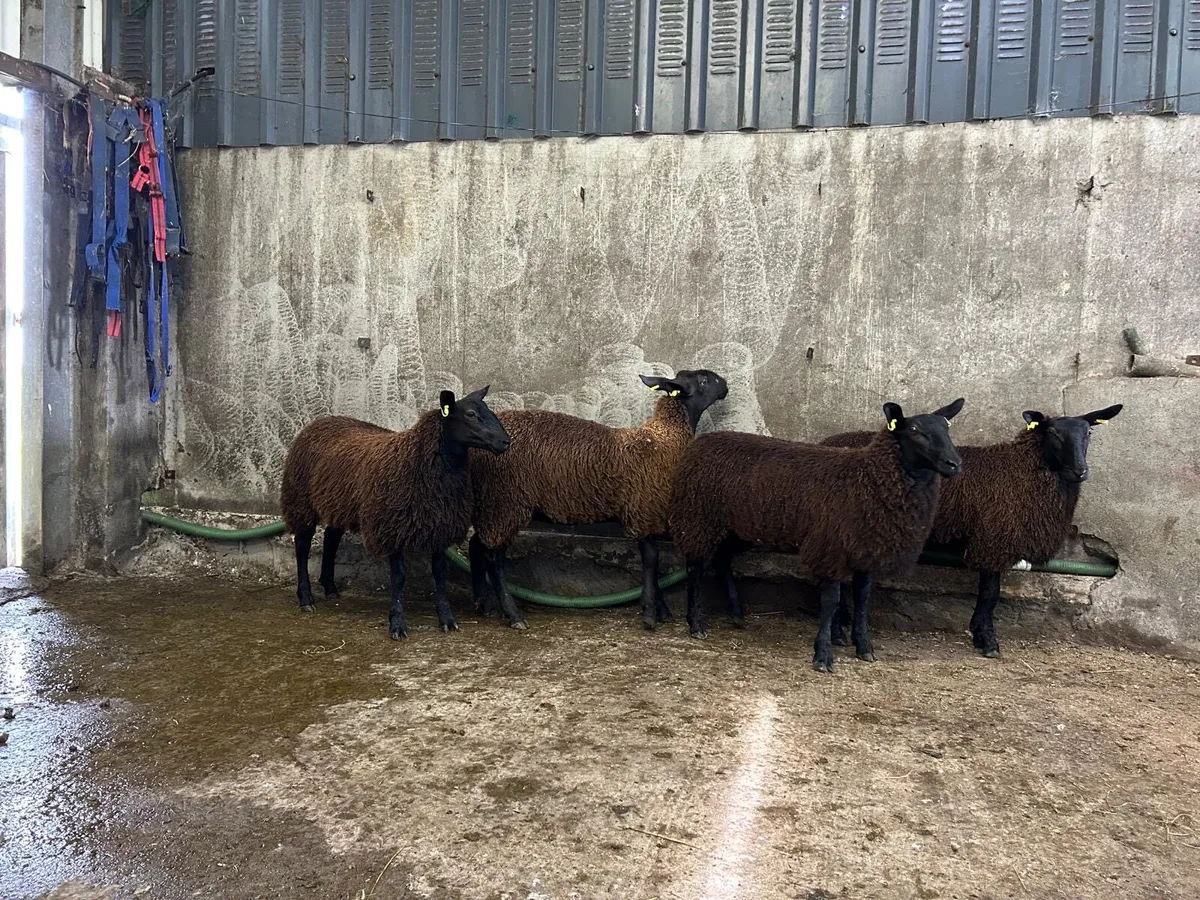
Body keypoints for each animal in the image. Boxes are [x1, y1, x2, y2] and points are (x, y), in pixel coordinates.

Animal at [280, 387, 511, 640]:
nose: (505, 441)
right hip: (300, 501)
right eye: (470, 414)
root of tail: (320, 421)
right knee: (302, 547)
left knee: (331, 539)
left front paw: (447, 619)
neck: (417, 460)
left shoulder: (439, 526)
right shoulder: (392, 526)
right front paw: (397, 623)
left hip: (339, 502)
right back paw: (305, 598)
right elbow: (399, 577)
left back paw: (330, 588)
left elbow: (439, 574)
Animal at [468, 370, 729, 630]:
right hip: (504, 502)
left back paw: (484, 604)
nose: (725, 386)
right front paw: (650, 613)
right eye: (704, 381)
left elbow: (653, 561)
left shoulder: (644, 511)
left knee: (477, 545)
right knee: (493, 558)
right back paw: (513, 614)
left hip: (491, 503)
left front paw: (661, 609)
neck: (663, 438)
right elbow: (651, 560)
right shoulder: (643, 509)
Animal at [668, 399, 964, 672]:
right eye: (914, 430)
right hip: (699, 519)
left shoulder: (865, 547)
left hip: (735, 526)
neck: (868, 477)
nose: (955, 464)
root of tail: (699, 443)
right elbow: (831, 601)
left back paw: (737, 614)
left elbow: (863, 598)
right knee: (695, 568)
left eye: (947, 427)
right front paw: (823, 655)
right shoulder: (831, 548)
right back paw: (696, 624)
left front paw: (864, 646)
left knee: (722, 561)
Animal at [821, 404, 1122, 657]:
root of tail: (825, 442)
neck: (1021, 471)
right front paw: (987, 641)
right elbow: (990, 595)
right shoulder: (992, 540)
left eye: (1089, 432)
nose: (1080, 471)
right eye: (1054, 433)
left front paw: (980, 634)